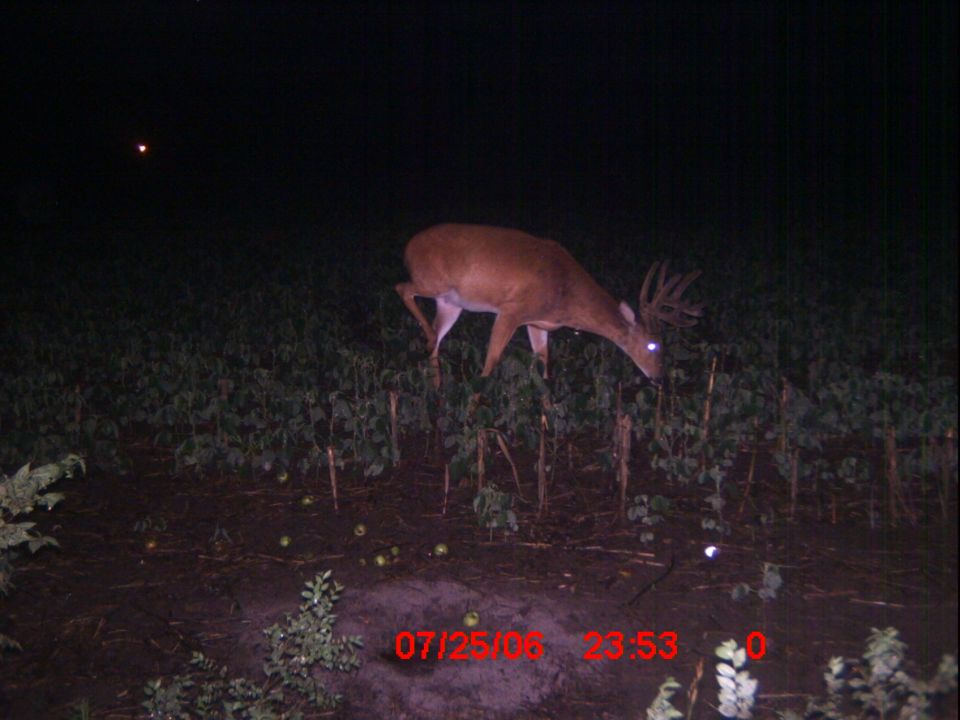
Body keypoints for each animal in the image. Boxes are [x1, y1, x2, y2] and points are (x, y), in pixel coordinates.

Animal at [396, 224, 703, 387]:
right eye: (653, 345)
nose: (660, 378)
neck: (565, 293)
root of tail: (408, 246)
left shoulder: (538, 323)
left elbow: (545, 367)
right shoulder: (512, 309)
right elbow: (490, 363)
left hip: (450, 304)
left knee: (437, 338)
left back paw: (437, 385)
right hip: (432, 282)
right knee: (402, 288)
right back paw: (428, 340)